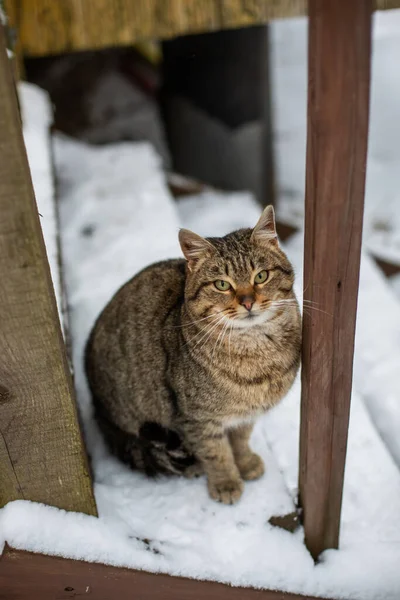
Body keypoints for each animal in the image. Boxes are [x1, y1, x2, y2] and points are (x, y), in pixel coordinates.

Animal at [86, 204, 302, 504]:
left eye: (261, 276)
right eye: (222, 285)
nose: (248, 302)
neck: (255, 352)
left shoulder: (246, 414)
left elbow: (241, 439)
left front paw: (245, 462)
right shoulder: (196, 418)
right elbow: (216, 452)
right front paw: (226, 482)